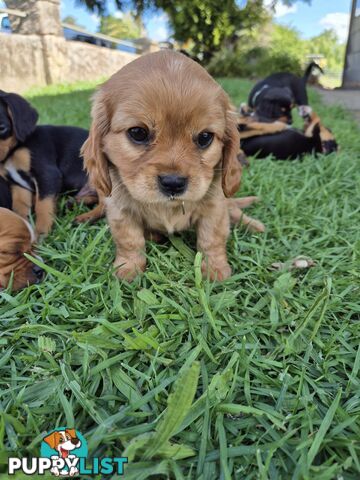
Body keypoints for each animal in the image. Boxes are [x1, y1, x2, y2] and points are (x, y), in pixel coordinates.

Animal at [0, 91, 90, 235]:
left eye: (1, 128)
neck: (14, 150)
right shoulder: (18, 186)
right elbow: (19, 209)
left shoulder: (47, 174)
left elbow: (42, 206)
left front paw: (41, 233)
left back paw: (86, 216)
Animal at [83, 50, 243, 280]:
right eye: (138, 132)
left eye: (205, 137)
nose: (173, 183)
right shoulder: (120, 210)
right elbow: (129, 240)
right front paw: (128, 269)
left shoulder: (215, 208)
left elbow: (211, 238)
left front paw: (215, 270)